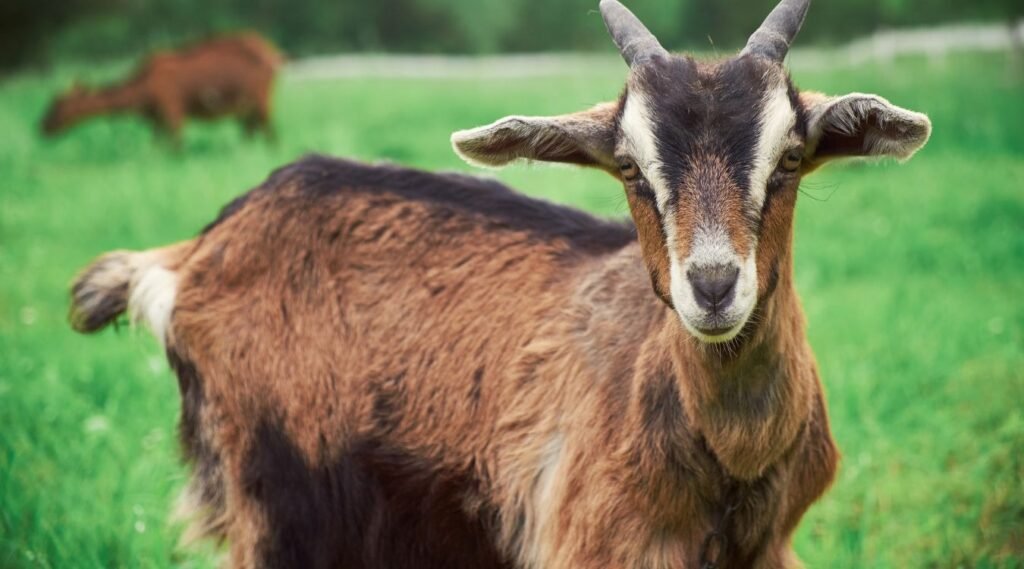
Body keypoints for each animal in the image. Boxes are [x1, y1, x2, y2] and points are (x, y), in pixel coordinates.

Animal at [42, 32, 283, 145]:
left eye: (58, 104)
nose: (42, 126)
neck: (143, 89)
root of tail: (273, 53)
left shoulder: (173, 111)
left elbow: (176, 147)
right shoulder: (156, 120)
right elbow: (158, 147)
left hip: (262, 99)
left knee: (270, 134)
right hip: (247, 107)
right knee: (251, 133)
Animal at [68, 0, 931, 567]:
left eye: (790, 158)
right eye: (629, 166)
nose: (713, 285)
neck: (732, 457)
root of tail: (193, 252)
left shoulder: (771, 545)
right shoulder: (593, 542)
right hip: (277, 500)